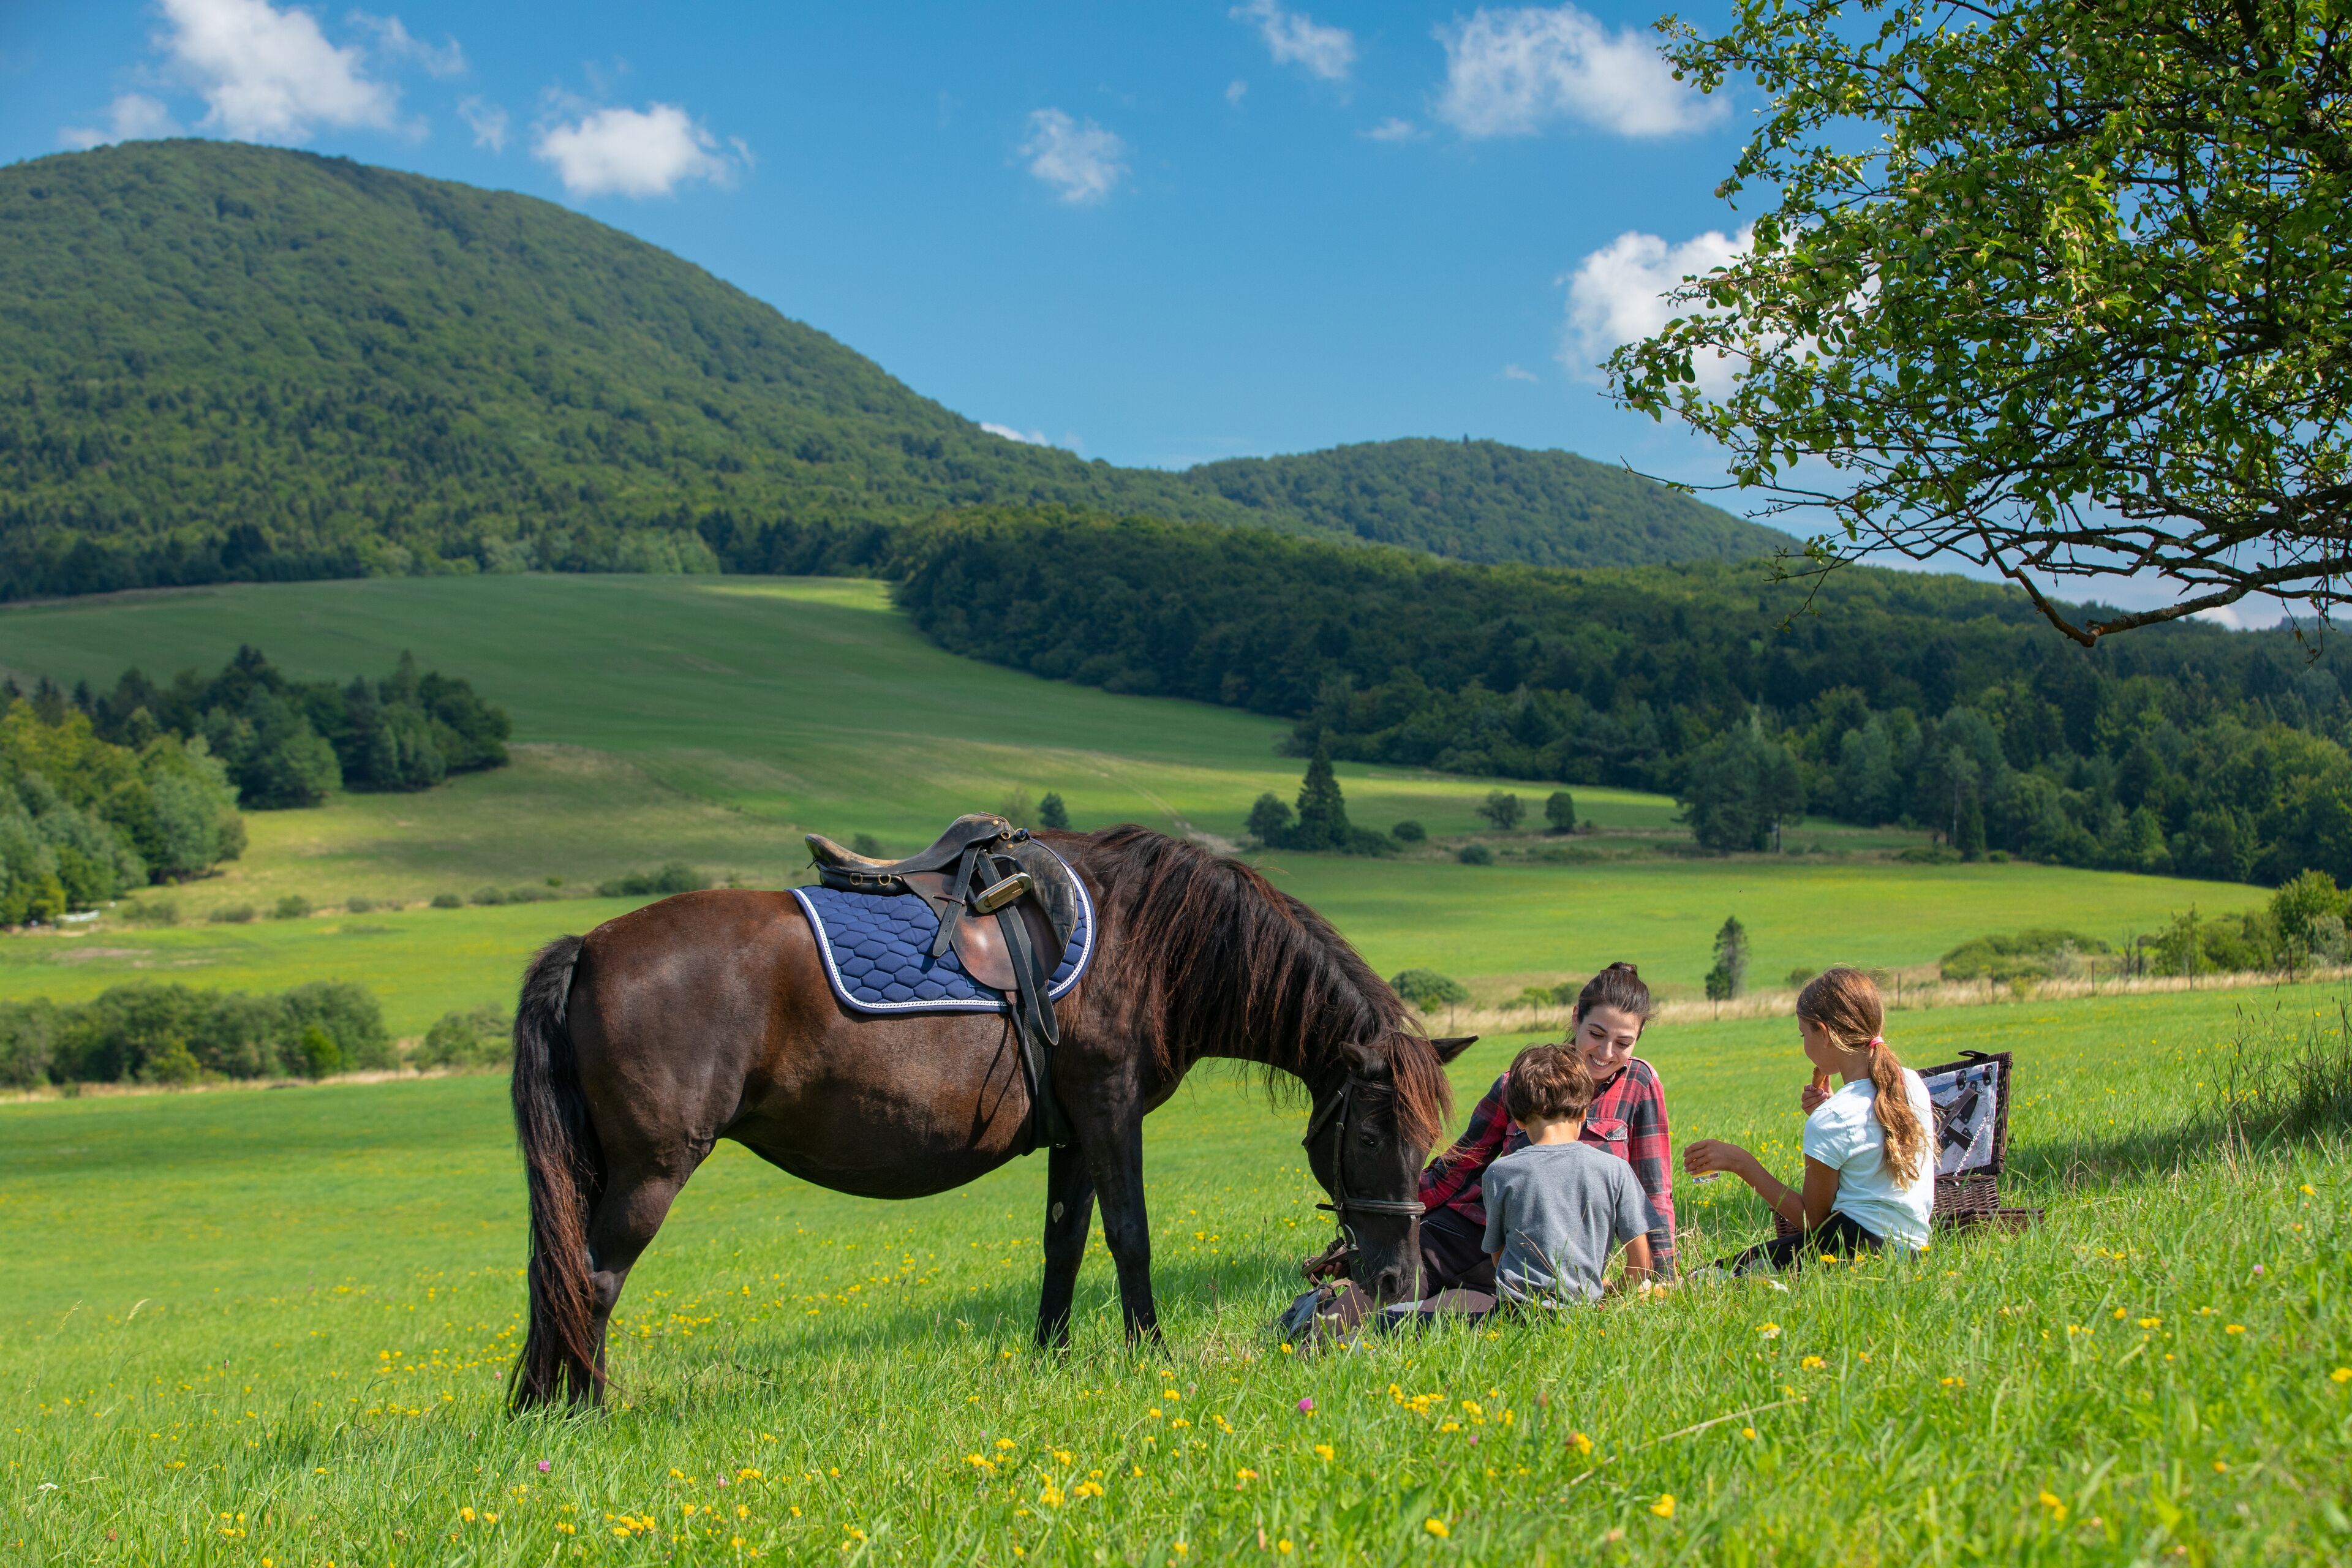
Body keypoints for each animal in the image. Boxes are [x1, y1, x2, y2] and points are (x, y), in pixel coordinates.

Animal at [508, 823, 1472, 1408]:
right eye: (1373, 1134)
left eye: (1430, 1138)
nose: (1401, 1283)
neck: (1151, 939)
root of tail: (589, 947)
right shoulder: (1112, 1108)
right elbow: (1130, 1235)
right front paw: (1150, 1356)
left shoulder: (1076, 1128)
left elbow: (1065, 1241)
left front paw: (1052, 1357)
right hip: (652, 1170)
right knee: (592, 1280)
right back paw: (581, 1412)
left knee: (557, 1277)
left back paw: (538, 1410)